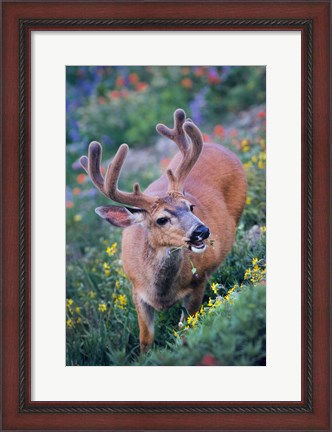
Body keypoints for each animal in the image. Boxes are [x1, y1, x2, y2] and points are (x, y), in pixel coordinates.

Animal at [80, 108, 246, 352]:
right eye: (161, 219)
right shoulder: (136, 290)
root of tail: (218, 145)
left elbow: (185, 326)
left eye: (190, 206)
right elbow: (145, 339)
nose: (202, 230)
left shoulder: (199, 281)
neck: (162, 294)